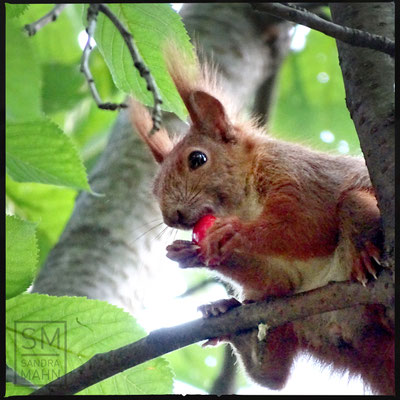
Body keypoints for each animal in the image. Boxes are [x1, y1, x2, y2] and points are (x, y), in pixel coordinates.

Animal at [129, 45, 394, 396]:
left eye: (198, 159)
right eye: (154, 186)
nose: (171, 216)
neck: (244, 205)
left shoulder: (302, 179)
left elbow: (304, 227)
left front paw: (232, 234)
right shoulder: (281, 278)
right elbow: (275, 281)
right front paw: (191, 253)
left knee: (352, 203)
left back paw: (365, 257)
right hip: (302, 326)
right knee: (272, 376)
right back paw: (231, 322)